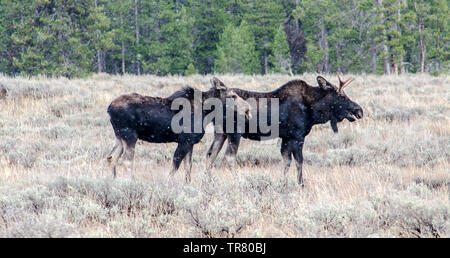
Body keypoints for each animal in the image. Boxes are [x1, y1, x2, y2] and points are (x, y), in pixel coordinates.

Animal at [107, 77, 251, 182]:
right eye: (233, 96)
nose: (248, 109)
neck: (206, 111)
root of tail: (109, 108)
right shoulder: (184, 140)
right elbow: (175, 166)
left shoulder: (190, 142)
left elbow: (188, 167)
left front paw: (188, 184)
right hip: (129, 135)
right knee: (127, 160)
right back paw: (130, 182)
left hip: (119, 136)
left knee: (111, 157)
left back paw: (112, 181)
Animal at [206, 74, 364, 185]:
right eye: (342, 96)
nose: (359, 110)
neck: (313, 110)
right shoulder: (297, 136)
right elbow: (299, 161)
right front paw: (300, 184)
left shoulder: (286, 137)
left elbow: (286, 160)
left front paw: (283, 183)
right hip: (234, 132)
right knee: (229, 157)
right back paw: (238, 181)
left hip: (220, 132)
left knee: (210, 155)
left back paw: (207, 181)